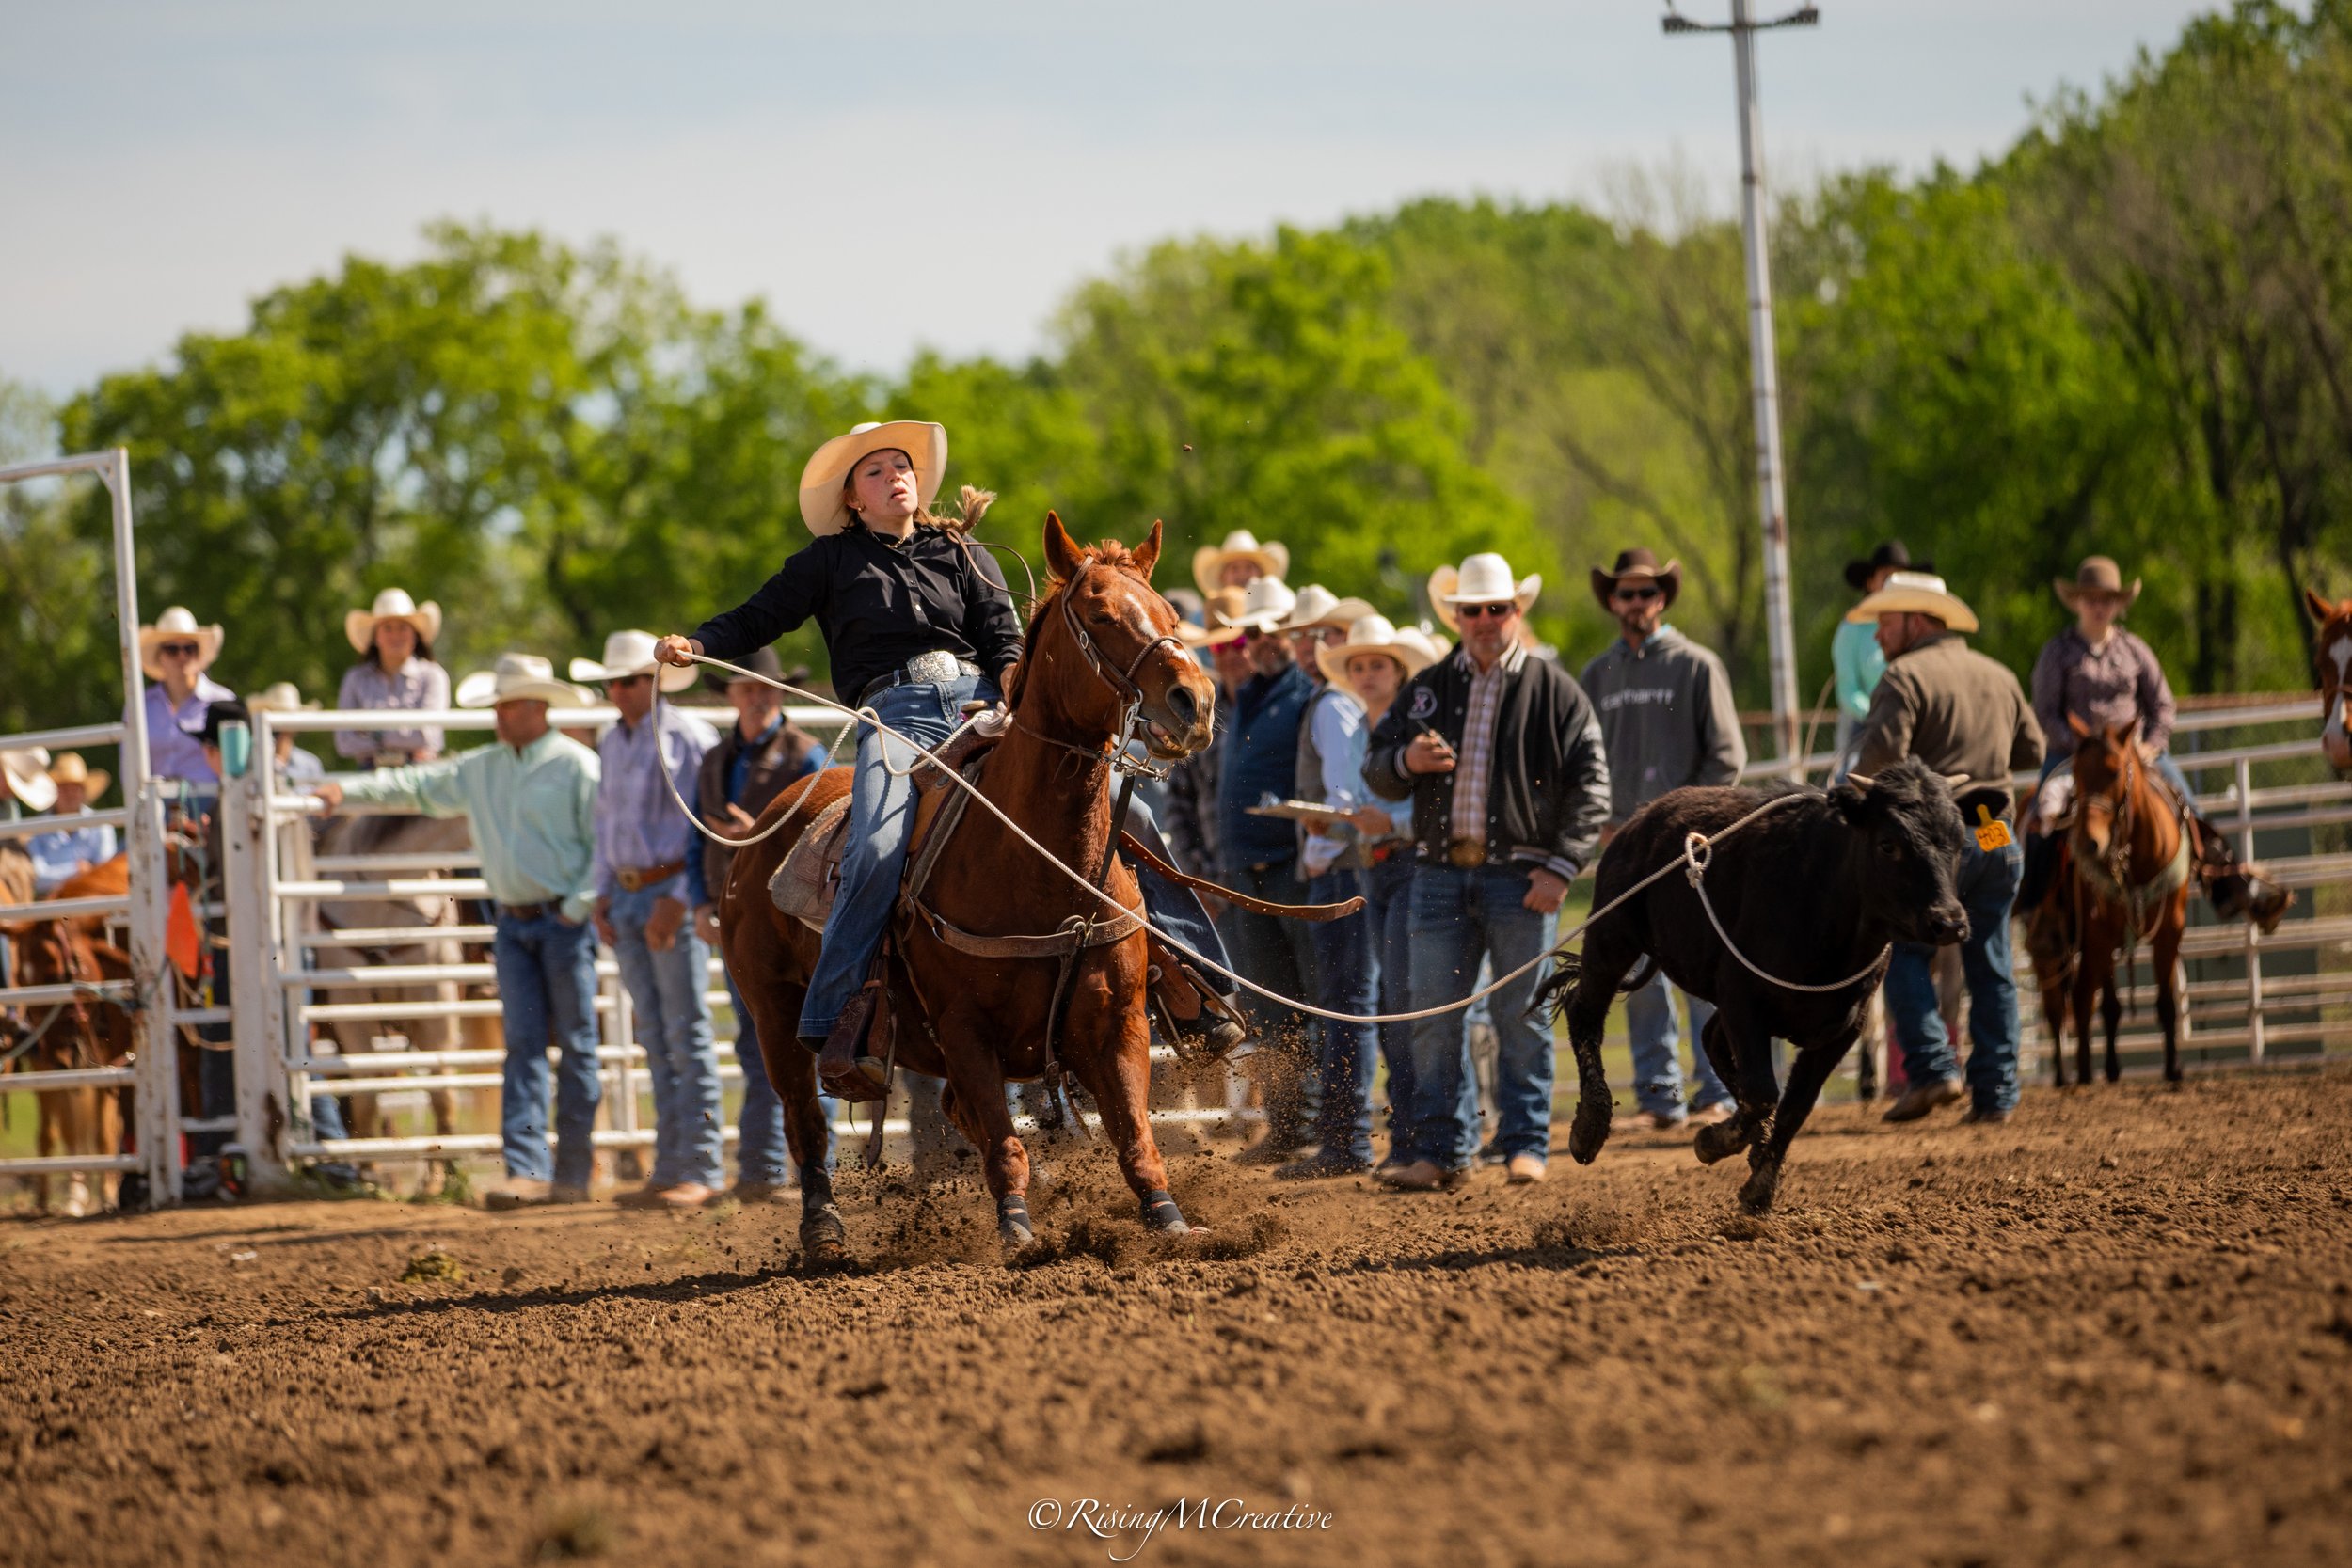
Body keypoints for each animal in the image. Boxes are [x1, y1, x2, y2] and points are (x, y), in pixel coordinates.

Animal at [720, 513, 1217, 1260]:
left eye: (1169, 613)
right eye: (1101, 614)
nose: (1195, 701)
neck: (1038, 865)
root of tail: (768, 820)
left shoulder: (1119, 1022)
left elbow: (1135, 1136)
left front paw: (1170, 1221)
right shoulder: (964, 1030)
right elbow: (1007, 1144)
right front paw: (1017, 1231)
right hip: (774, 1016)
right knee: (805, 1122)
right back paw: (823, 1230)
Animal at [2046, 716, 2191, 1085]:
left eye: (2114, 771)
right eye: (2077, 772)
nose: (2088, 843)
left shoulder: (2170, 929)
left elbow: (2166, 1002)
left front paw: (2173, 1068)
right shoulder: (2100, 931)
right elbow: (2105, 1004)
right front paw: (2106, 1068)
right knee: (2070, 1001)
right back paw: (2080, 1072)